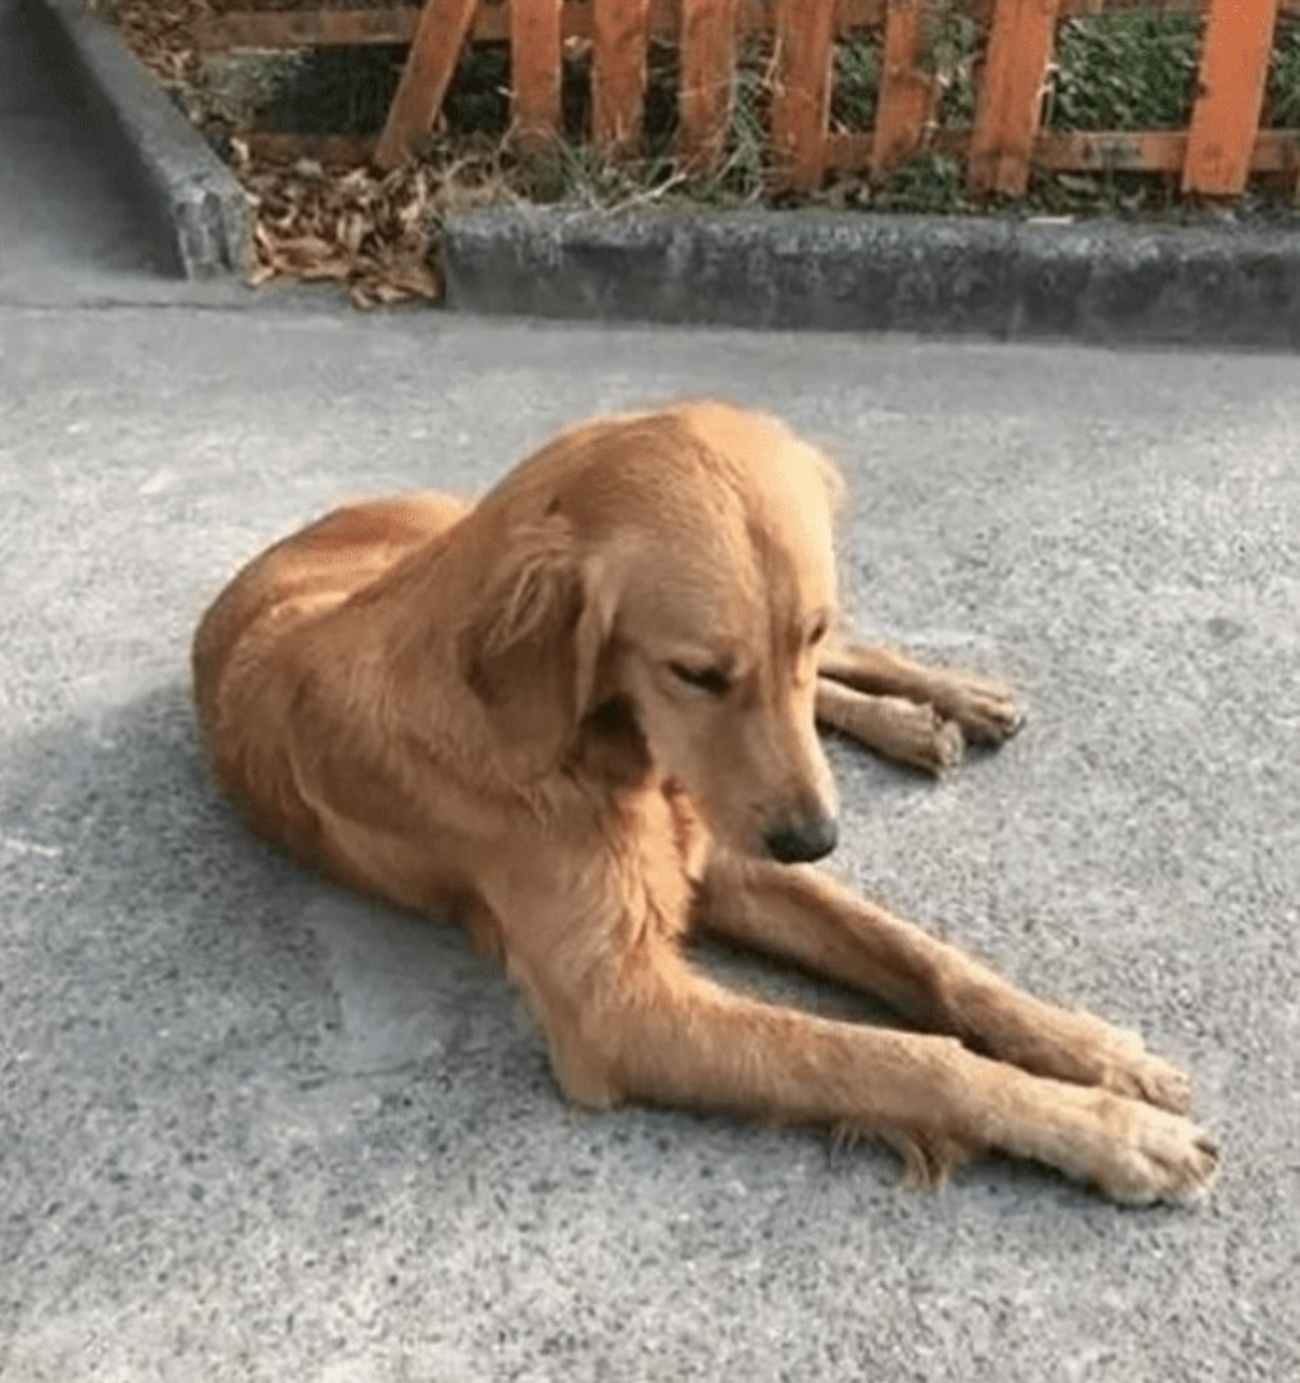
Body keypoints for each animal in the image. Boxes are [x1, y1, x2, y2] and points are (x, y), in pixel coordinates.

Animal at [193, 398, 1217, 1200]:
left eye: (806, 631)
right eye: (695, 673)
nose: (817, 838)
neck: (598, 752)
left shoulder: (730, 844)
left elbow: (929, 961)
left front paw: (1093, 1050)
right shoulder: (621, 1003)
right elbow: (884, 1053)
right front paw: (1111, 1131)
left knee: (855, 667)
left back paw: (946, 700)